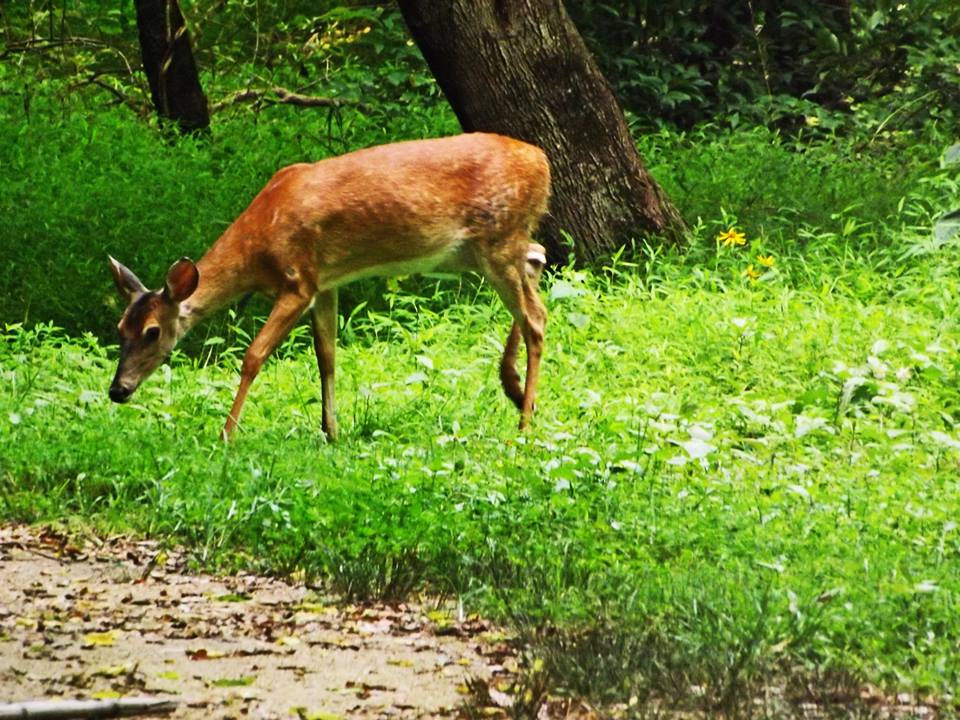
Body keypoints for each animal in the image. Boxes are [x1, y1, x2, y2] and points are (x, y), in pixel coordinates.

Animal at [107, 132, 550, 441]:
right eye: (120, 328)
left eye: (153, 332)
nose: (117, 390)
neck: (258, 244)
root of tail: (543, 162)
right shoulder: (326, 283)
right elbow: (327, 356)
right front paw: (331, 431)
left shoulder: (298, 281)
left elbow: (254, 355)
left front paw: (227, 433)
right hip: (486, 248)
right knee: (538, 258)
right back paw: (514, 389)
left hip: (497, 239)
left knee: (536, 316)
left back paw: (524, 423)